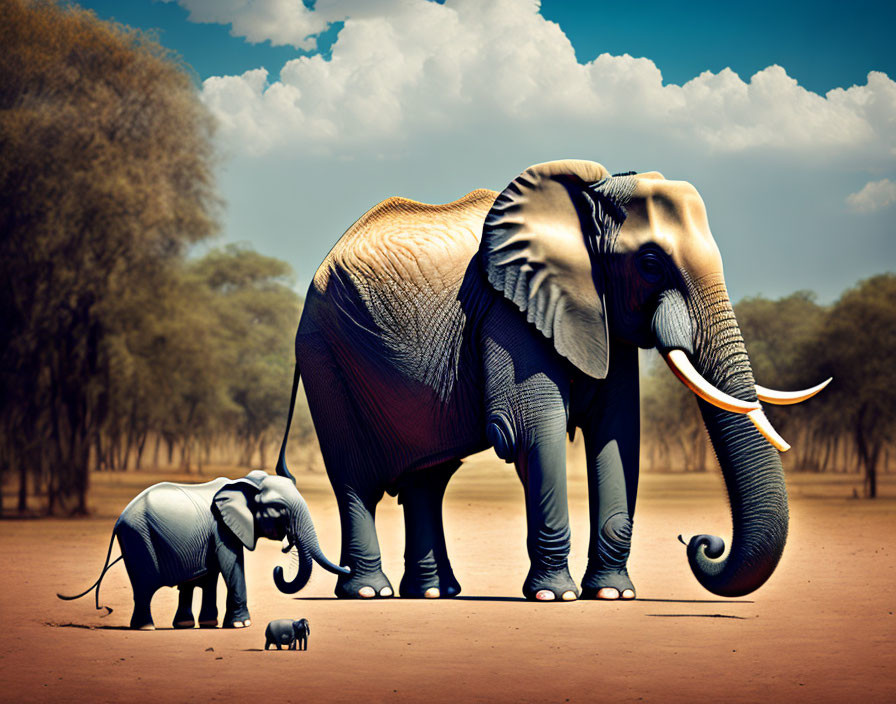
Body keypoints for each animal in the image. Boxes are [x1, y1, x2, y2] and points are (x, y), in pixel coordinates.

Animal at [57, 470, 348, 628]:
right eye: (279, 509)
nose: (279, 567)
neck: (244, 482)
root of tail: (118, 520)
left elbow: (210, 576)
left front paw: (205, 624)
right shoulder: (222, 528)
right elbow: (232, 566)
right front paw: (241, 625)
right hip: (138, 539)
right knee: (144, 588)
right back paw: (146, 628)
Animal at [276, 162, 828, 604]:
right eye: (650, 263)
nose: (701, 542)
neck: (588, 203)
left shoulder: (600, 314)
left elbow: (616, 432)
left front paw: (612, 595)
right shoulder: (510, 310)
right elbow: (527, 431)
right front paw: (554, 597)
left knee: (428, 478)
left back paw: (434, 593)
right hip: (325, 355)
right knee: (355, 480)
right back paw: (370, 592)